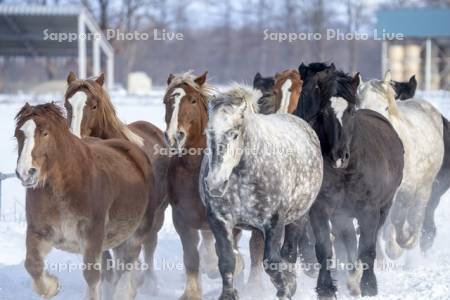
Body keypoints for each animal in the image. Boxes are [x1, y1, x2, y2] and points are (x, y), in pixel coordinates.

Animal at [14, 103, 156, 300]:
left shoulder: (91, 235)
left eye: (45, 133)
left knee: (129, 261)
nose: (26, 172)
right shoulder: (38, 231)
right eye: (18, 134)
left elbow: (91, 275)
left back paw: (123, 293)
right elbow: (32, 265)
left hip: (139, 229)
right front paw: (52, 286)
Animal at [64, 71, 168, 292]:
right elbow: (106, 261)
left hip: (158, 213)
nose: (76, 139)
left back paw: (149, 282)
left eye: (94, 106)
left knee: (149, 246)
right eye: (67, 105)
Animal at [201, 84, 324, 300]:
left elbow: (272, 263)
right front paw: (229, 295)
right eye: (209, 132)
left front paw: (285, 290)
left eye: (234, 133)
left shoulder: (274, 222)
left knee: (289, 252)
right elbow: (227, 261)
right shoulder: (219, 220)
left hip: (298, 218)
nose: (215, 183)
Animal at [296, 62, 404, 298]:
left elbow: (368, 248)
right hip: (341, 214)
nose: (339, 156)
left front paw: (368, 286)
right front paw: (326, 288)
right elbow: (325, 248)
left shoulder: (369, 210)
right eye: (324, 111)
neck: (348, 171)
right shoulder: (321, 209)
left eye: (351, 110)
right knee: (347, 239)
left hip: (383, 208)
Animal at [356, 71, 444, 258]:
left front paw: (400, 245)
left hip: (424, 187)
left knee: (415, 215)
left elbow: (398, 219)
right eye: (359, 107)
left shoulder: (406, 189)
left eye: (386, 108)